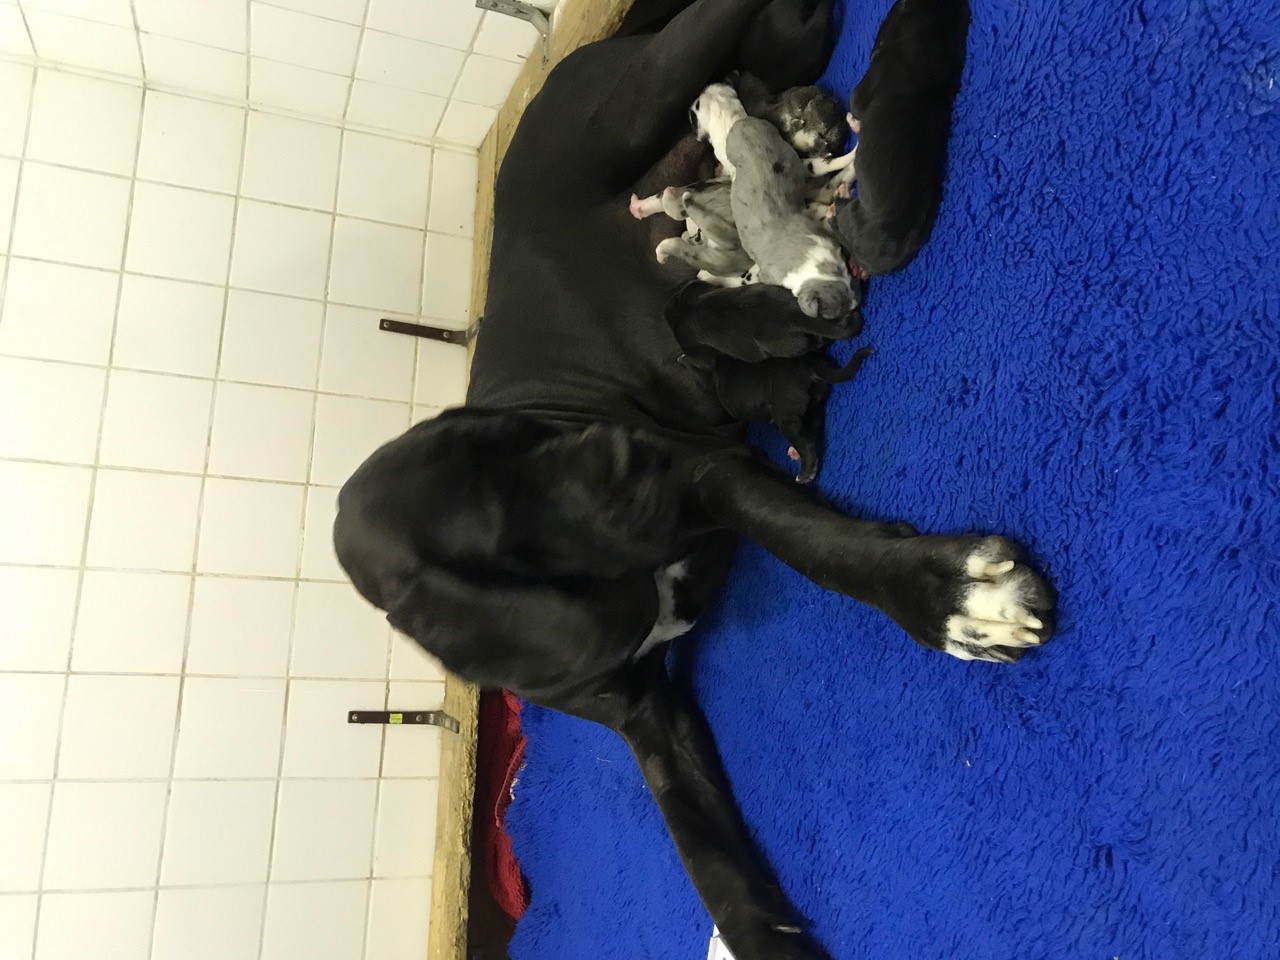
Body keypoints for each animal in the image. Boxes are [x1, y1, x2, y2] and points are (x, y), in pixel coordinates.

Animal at [691, 347, 876, 484]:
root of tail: (804, 362)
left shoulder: (708, 380)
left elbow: (700, 379)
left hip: (786, 414)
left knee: (807, 445)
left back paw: (805, 473)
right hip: (814, 404)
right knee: (814, 427)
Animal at [831, 0, 971, 278]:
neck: (932, 37)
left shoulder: (864, 90)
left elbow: (857, 106)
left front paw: (854, 122)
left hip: (851, 215)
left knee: (839, 216)